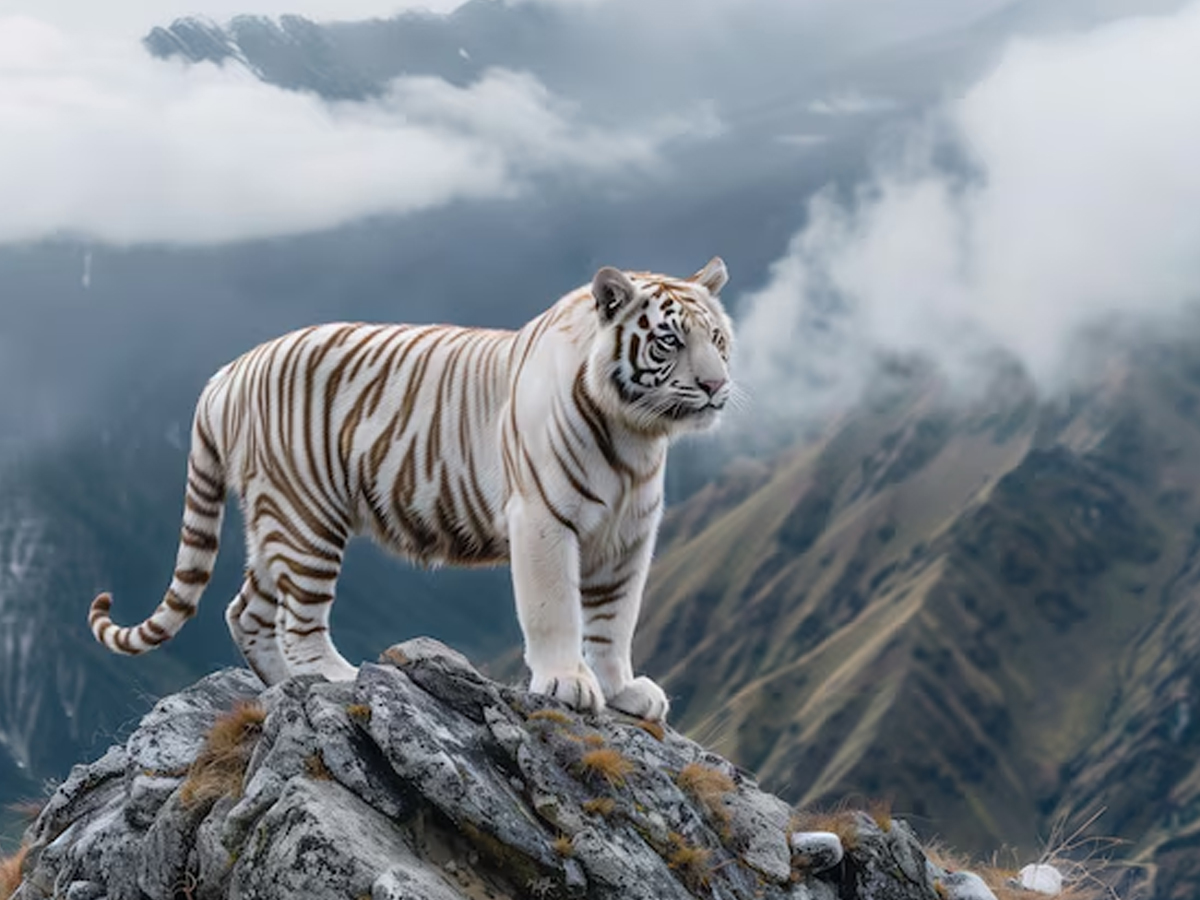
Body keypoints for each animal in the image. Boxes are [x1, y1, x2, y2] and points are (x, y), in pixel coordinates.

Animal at [88, 258, 734, 720]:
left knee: (247, 610)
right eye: (669, 341)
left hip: (273, 522)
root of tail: (225, 374)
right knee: (298, 620)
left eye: (717, 340)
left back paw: (286, 686)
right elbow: (556, 609)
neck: (637, 435)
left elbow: (615, 620)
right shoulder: (543, 520)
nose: (715, 385)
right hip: (305, 518)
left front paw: (623, 690)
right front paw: (566, 684)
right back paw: (339, 678)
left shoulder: (629, 536)